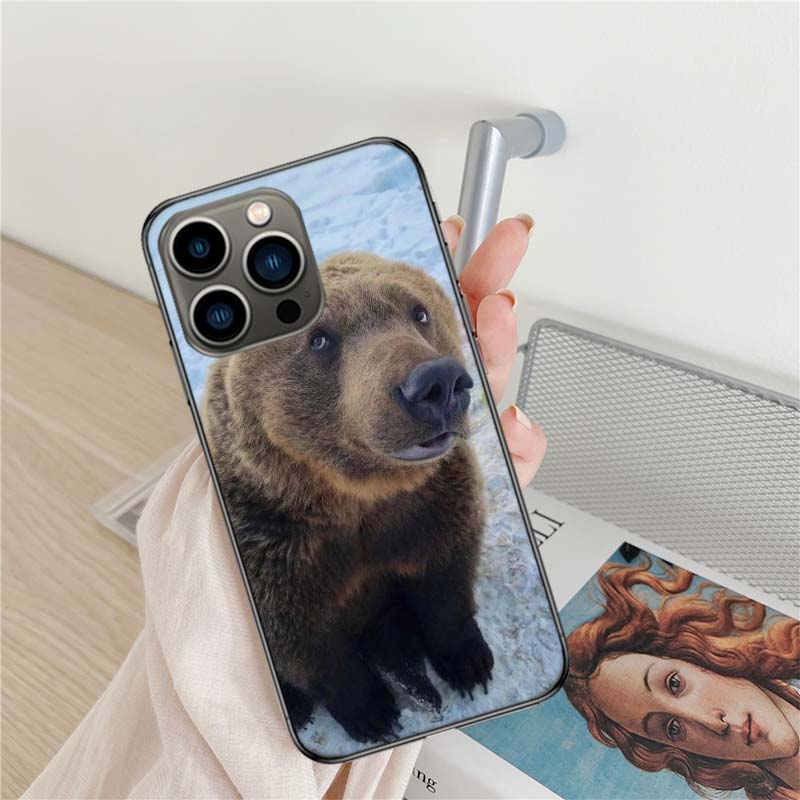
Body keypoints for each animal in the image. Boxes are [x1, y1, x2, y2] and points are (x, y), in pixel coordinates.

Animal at [202, 251, 493, 743]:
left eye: (419, 312)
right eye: (320, 339)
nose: (438, 382)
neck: (356, 498)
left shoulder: (427, 506)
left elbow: (445, 577)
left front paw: (470, 662)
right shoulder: (277, 542)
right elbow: (306, 642)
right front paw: (372, 712)